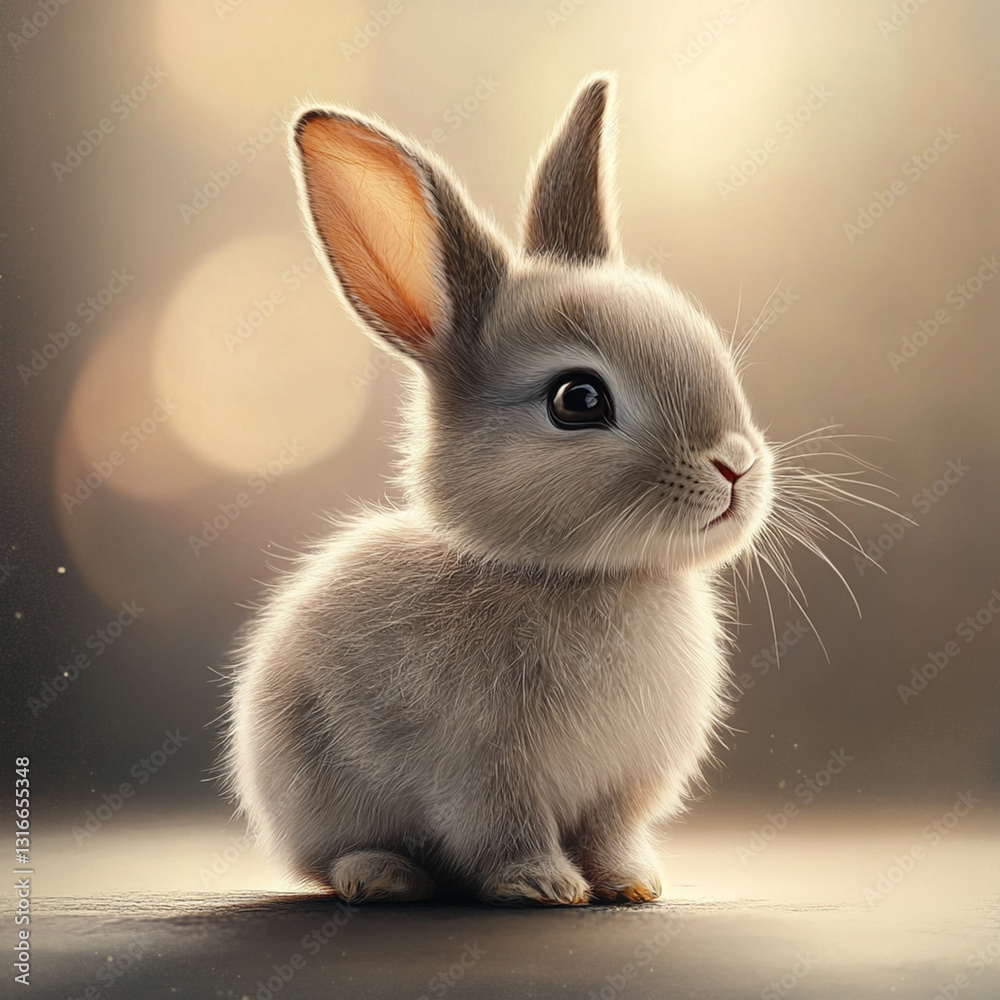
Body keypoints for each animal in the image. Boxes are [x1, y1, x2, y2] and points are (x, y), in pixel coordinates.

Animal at [225, 73, 778, 906]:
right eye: (578, 400)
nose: (735, 466)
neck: (585, 576)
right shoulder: (485, 774)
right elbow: (507, 832)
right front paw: (545, 887)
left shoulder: (622, 788)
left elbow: (610, 835)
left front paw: (631, 885)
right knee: (329, 858)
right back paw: (384, 877)